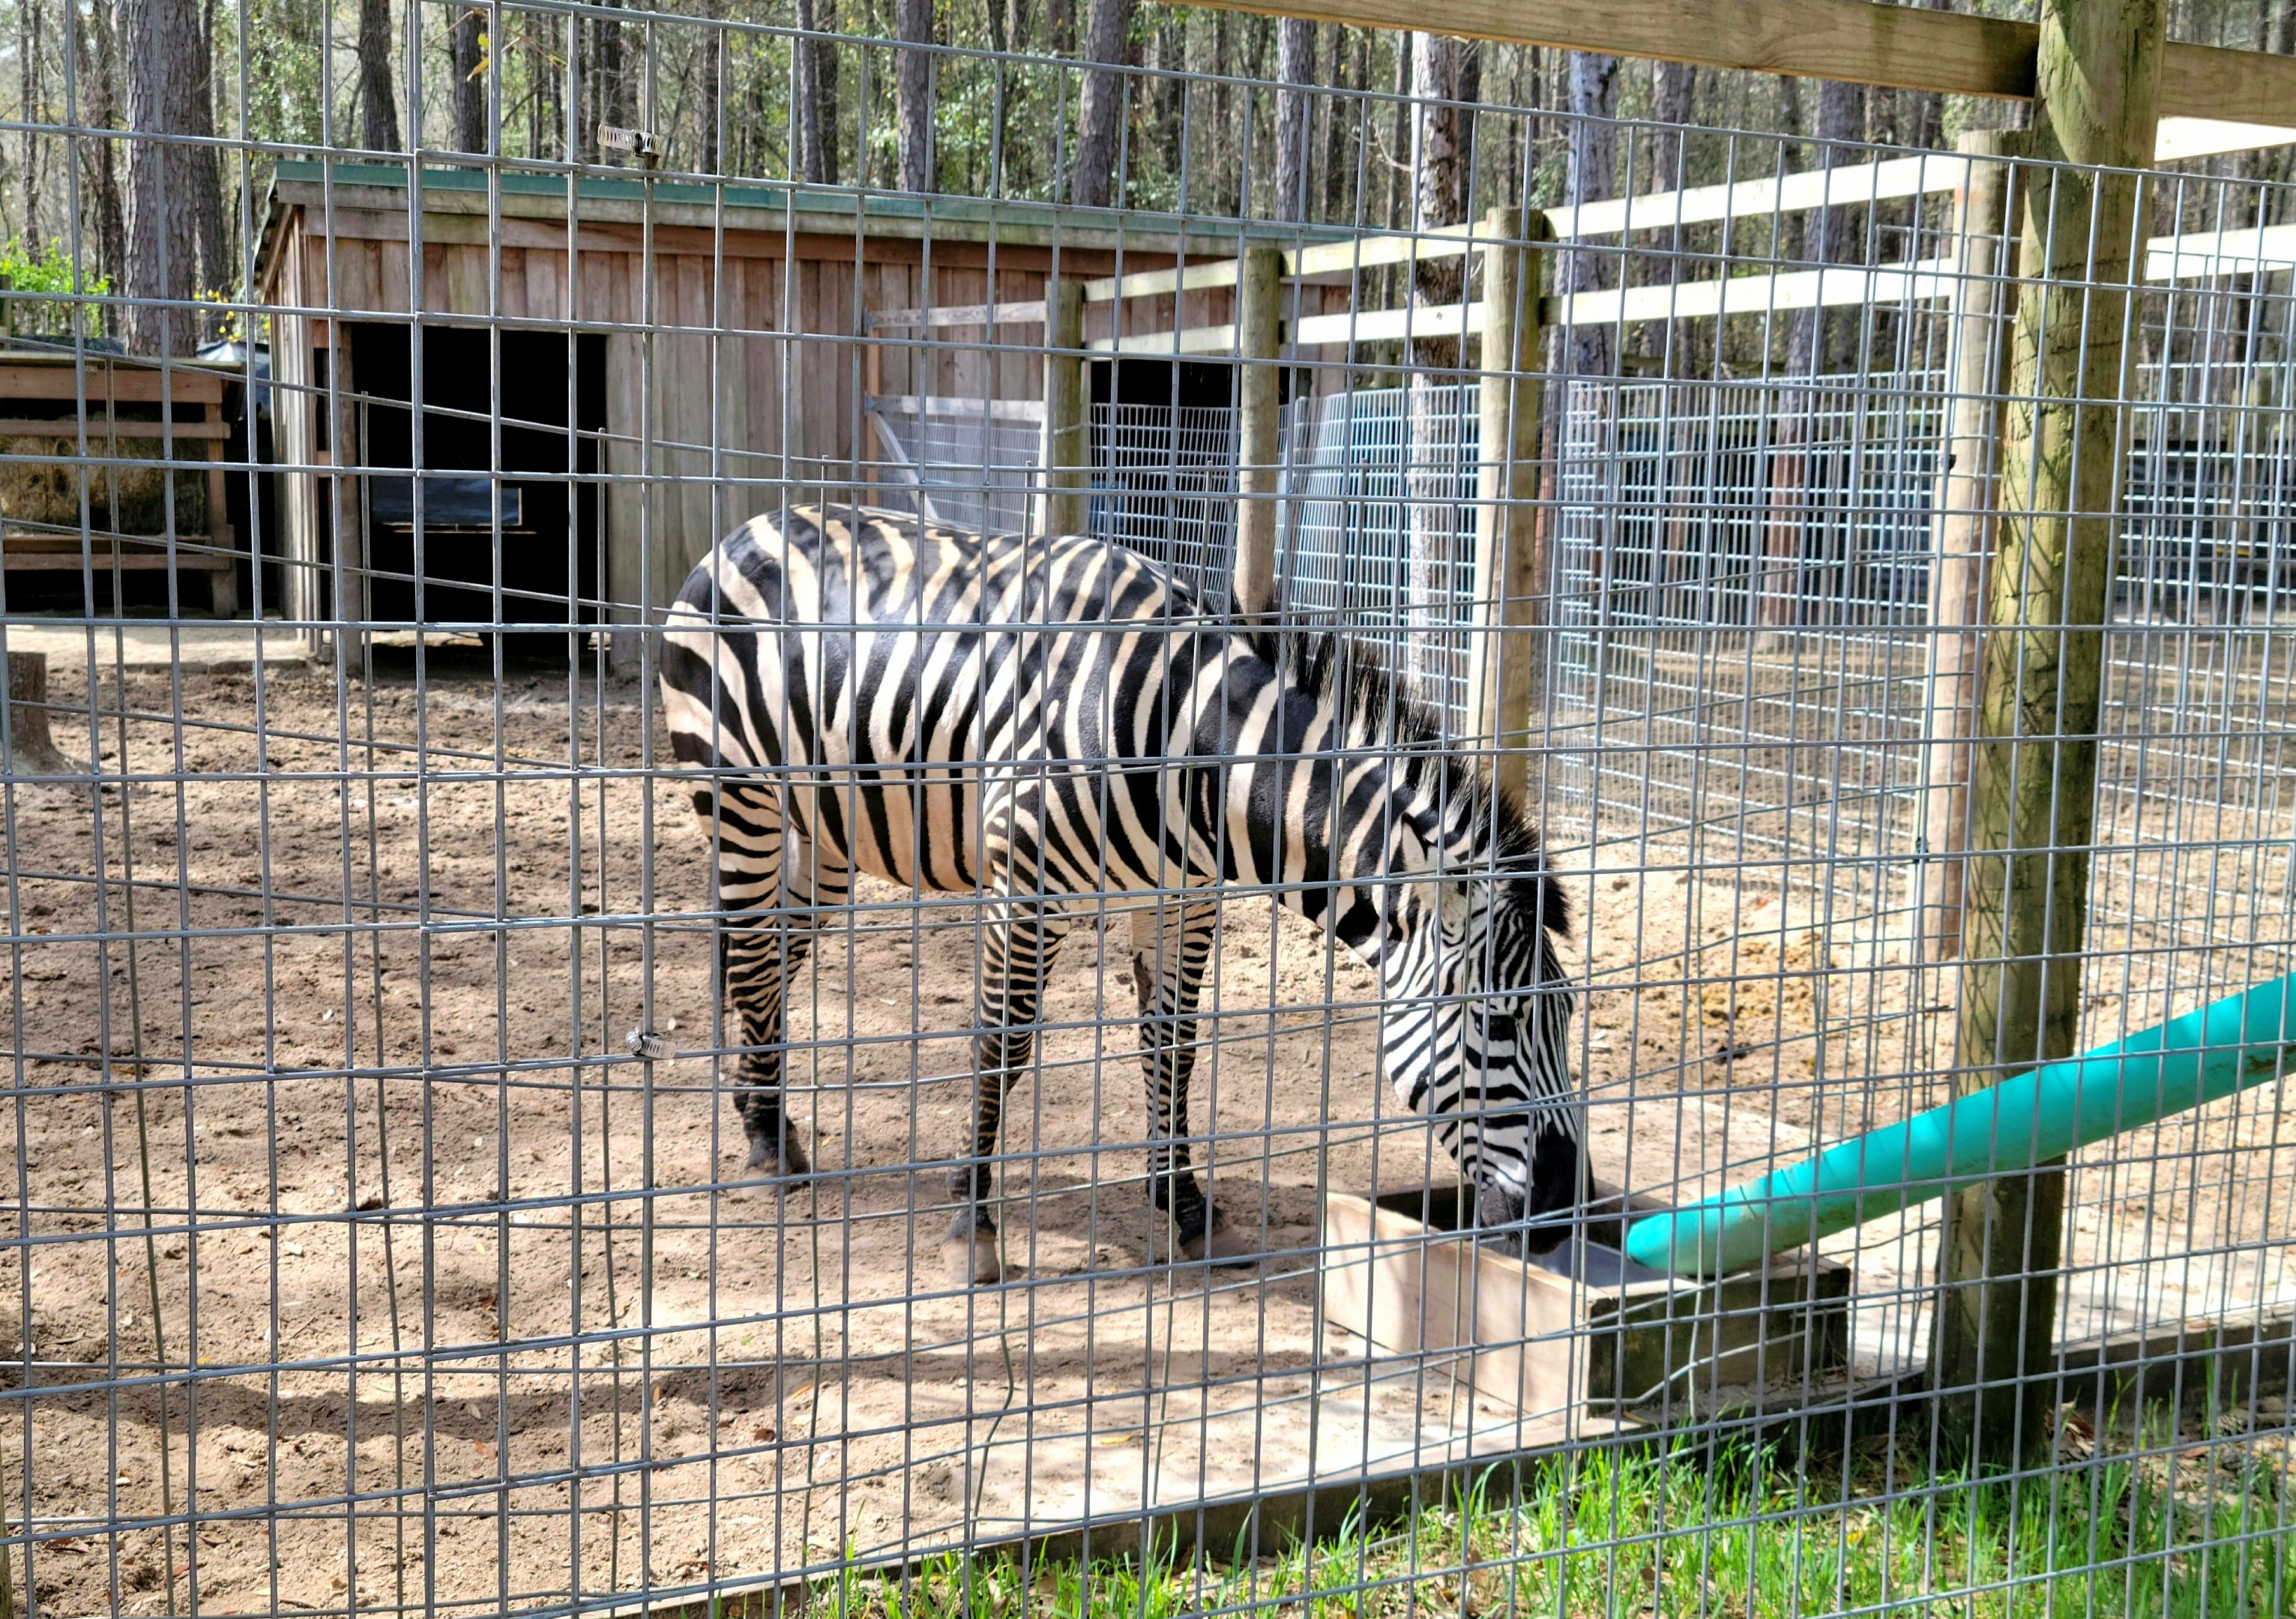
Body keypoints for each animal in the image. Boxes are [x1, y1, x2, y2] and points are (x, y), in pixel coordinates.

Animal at [659, 504, 1584, 1285]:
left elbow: (1173, 1048)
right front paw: (974, 1229)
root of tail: (754, 521)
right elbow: (1003, 1047)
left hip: (824, 835)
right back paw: (766, 1151)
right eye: (1497, 1022)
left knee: (769, 955)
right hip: (741, 800)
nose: (1565, 1211)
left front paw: (1188, 1211)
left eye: (1567, 1016)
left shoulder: (1185, 903)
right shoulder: (1024, 892)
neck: (1195, 754)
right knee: (750, 955)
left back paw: (766, 1117)